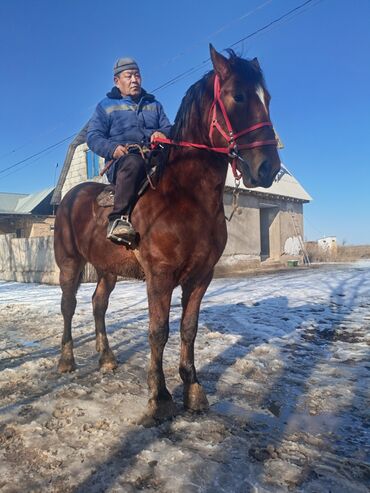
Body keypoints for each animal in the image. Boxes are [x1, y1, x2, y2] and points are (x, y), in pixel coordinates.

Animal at [54, 46, 280, 420]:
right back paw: (66, 360)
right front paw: (159, 397)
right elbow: (158, 332)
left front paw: (193, 390)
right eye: (238, 95)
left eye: (268, 97)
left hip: (107, 269)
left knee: (98, 304)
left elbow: (189, 329)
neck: (185, 196)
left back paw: (107, 358)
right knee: (69, 306)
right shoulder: (159, 277)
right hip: (69, 264)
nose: (267, 168)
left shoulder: (201, 277)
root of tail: (69, 198)